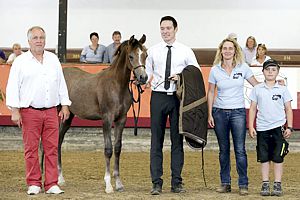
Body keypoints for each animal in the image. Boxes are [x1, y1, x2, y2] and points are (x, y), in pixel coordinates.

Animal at [57, 35, 148, 193]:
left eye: (145, 56)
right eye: (131, 56)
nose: (143, 78)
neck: (116, 85)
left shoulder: (121, 119)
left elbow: (117, 148)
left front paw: (119, 183)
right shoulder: (106, 119)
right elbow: (108, 149)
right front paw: (108, 185)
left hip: (68, 117)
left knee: (58, 141)